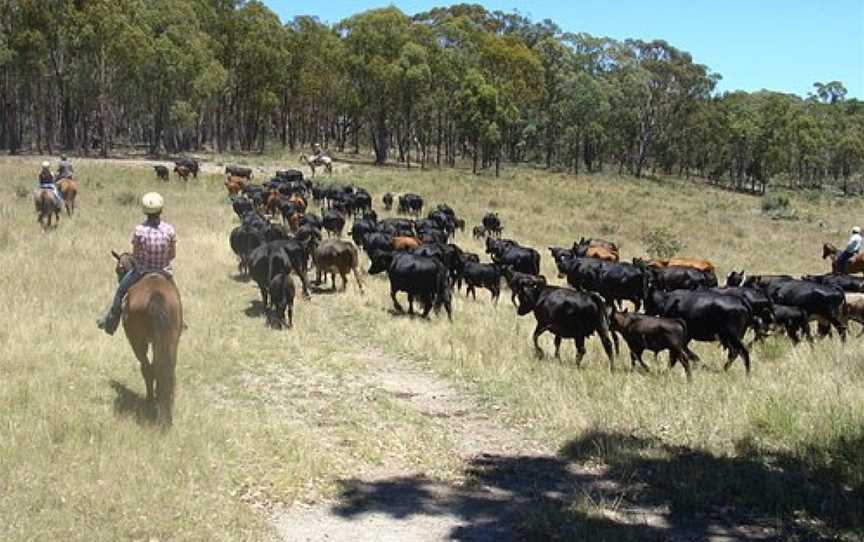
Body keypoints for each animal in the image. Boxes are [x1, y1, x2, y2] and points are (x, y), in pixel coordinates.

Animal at [110, 252, 183, 430]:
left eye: (118, 268)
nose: (119, 279)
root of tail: (156, 296)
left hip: (137, 341)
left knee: (148, 367)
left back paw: (151, 398)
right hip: (170, 340)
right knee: (166, 368)